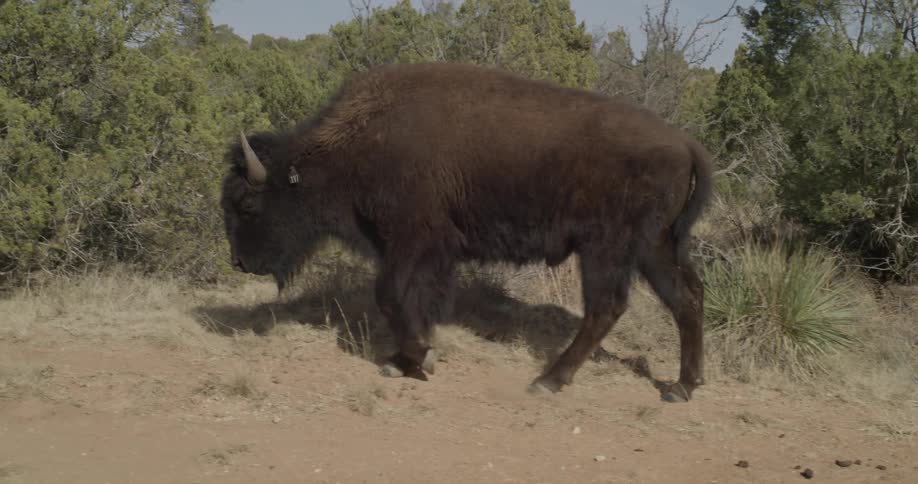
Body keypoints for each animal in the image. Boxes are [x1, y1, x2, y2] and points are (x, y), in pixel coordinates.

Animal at [221, 62, 713, 402]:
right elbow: (412, 299)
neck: (357, 141)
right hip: (654, 248)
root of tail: (685, 143)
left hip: (606, 249)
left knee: (606, 307)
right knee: (686, 298)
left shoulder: (414, 243)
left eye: (247, 204)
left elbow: (391, 296)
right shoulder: (420, 253)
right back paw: (682, 387)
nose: (240, 262)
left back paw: (548, 381)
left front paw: (420, 357)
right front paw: (403, 361)